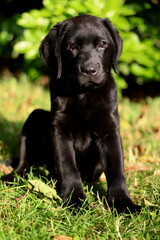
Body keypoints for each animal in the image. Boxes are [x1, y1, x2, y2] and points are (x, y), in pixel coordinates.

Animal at [3, 14, 141, 214]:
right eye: (72, 46)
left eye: (102, 44)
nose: (89, 70)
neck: (83, 94)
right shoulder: (60, 129)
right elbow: (68, 166)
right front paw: (75, 199)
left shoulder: (109, 130)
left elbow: (116, 169)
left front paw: (123, 202)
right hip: (34, 117)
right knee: (24, 161)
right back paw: (12, 177)